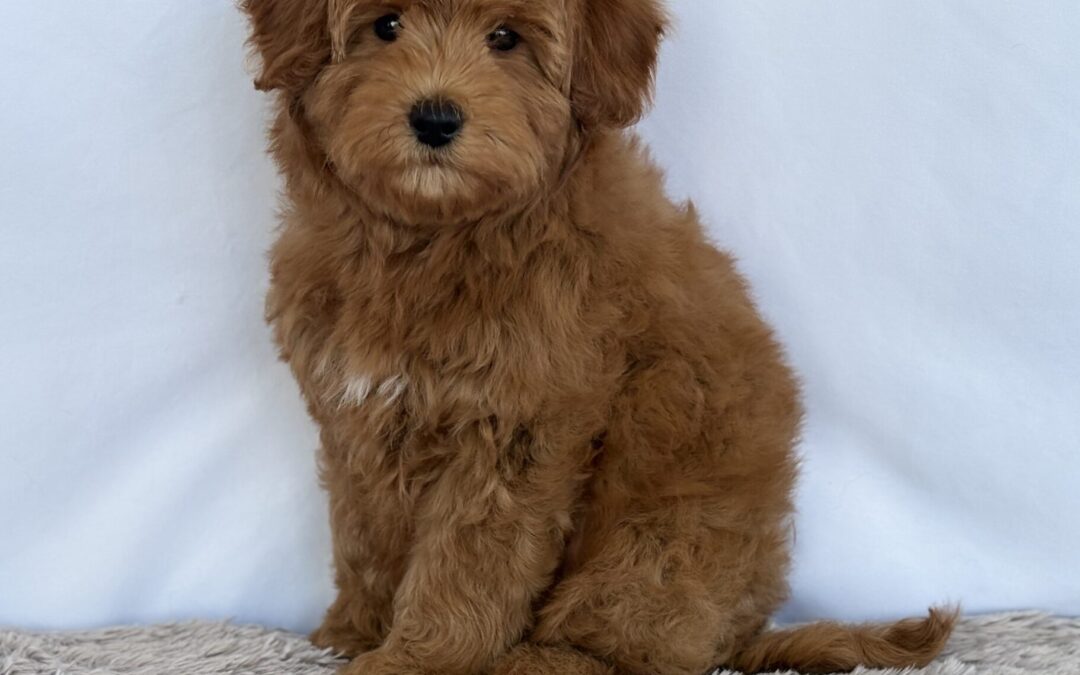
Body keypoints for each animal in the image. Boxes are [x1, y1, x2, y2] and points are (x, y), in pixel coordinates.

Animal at [243, 1, 954, 673]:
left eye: (505, 39)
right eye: (386, 26)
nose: (436, 119)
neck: (430, 241)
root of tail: (744, 635)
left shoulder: (515, 427)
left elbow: (467, 560)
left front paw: (418, 660)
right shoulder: (358, 416)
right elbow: (363, 529)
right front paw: (354, 630)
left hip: (663, 544)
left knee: (628, 642)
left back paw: (534, 662)